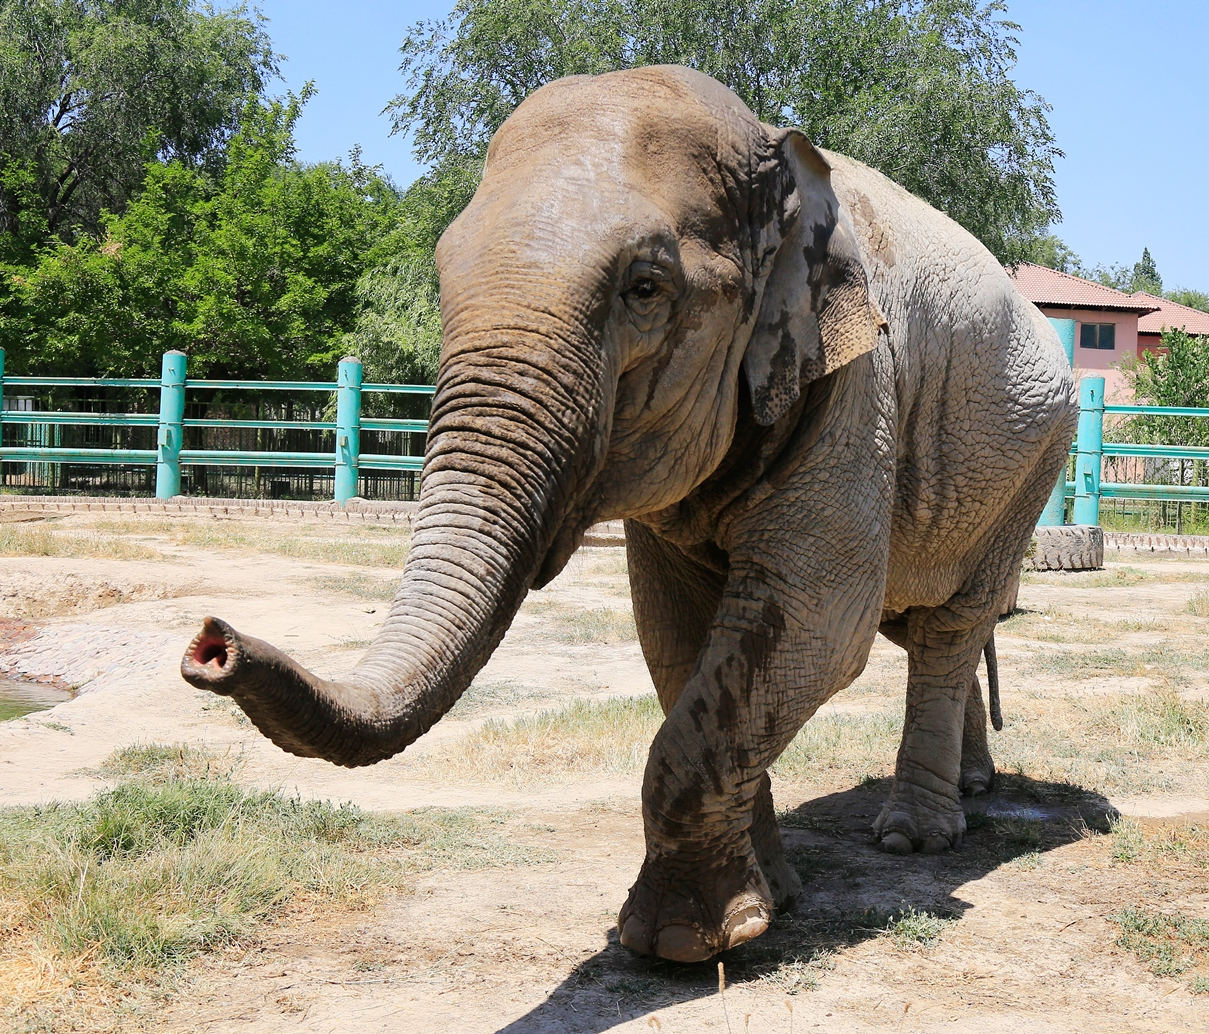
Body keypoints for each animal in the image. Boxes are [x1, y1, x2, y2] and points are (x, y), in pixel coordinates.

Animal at [178, 68, 1078, 967]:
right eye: (440, 279)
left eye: (643, 288)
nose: (212, 644)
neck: (776, 154)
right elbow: (678, 638)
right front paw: (770, 901)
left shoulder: (857, 385)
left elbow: (813, 622)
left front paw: (681, 945)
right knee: (916, 620)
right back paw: (969, 787)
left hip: (1037, 457)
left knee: (948, 625)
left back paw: (913, 838)